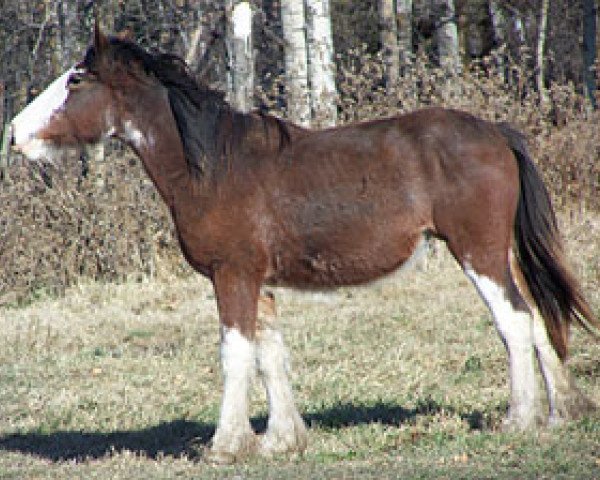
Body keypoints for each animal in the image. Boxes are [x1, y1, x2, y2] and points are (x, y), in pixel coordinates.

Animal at [9, 25, 600, 462]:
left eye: (76, 79)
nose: (13, 134)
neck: (215, 168)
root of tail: (496, 131)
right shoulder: (258, 281)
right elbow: (270, 353)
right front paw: (281, 440)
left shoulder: (233, 275)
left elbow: (236, 353)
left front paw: (226, 446)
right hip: (499, 254)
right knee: (537, 317)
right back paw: (562, 412)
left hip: (476, 252)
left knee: (513, 321)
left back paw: (518, 420)